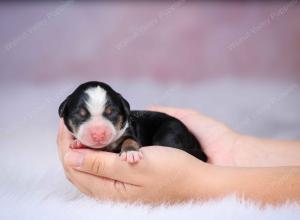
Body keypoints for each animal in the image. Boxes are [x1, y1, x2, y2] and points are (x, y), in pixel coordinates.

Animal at [59, 81, 207, 163]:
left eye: (111, 112)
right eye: (80, 114)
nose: (99, 134)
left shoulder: (130, 133)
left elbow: (129, 140)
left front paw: (130, 153)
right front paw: (78, 143)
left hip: (170, 131)